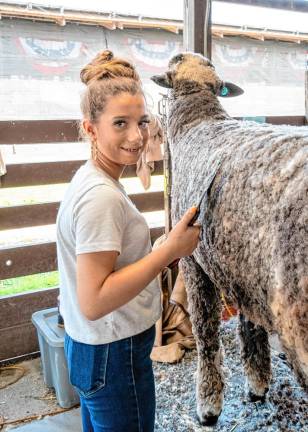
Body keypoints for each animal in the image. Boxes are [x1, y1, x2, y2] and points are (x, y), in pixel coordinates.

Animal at [152, 51, 308, 426]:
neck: (198, 123)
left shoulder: (193, 260)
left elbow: (206, 332)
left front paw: (208, 406)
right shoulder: (244, 269)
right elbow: (251, 327)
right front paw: (258, 385)